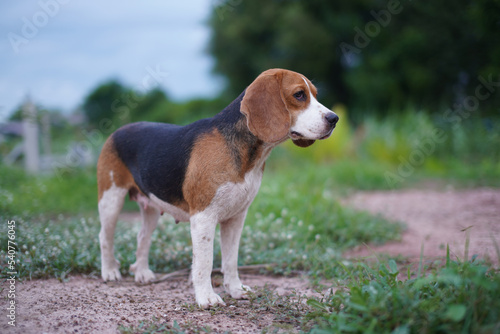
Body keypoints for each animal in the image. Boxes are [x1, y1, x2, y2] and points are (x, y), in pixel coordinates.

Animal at [96, 68, 340, 308]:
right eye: (299, 95)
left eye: (315, 94)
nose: (334, 118)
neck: (250, 155)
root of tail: (118, 131)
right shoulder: (203, 217)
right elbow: (205, 262)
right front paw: (206, 297)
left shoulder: (236, 217)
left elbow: (230, 260)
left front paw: (236, 289)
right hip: (111, 199)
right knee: (104, 236)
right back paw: (110, 271)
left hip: (152, 208)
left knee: (142, 237)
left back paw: (142, 273)